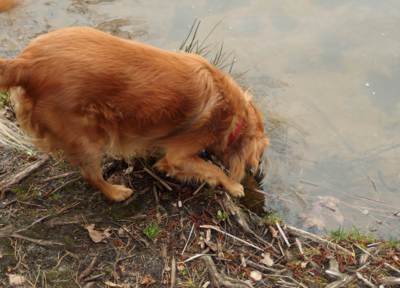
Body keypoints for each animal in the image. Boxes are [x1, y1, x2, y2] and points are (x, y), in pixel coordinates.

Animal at [1, 28, 268, 201]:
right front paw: (232, 185)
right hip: (86, 137)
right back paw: (116, 193)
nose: (258, 173)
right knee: (91, 175)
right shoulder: (178, 155)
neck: (234, 114)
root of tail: (26, 63)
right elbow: (212, 168)